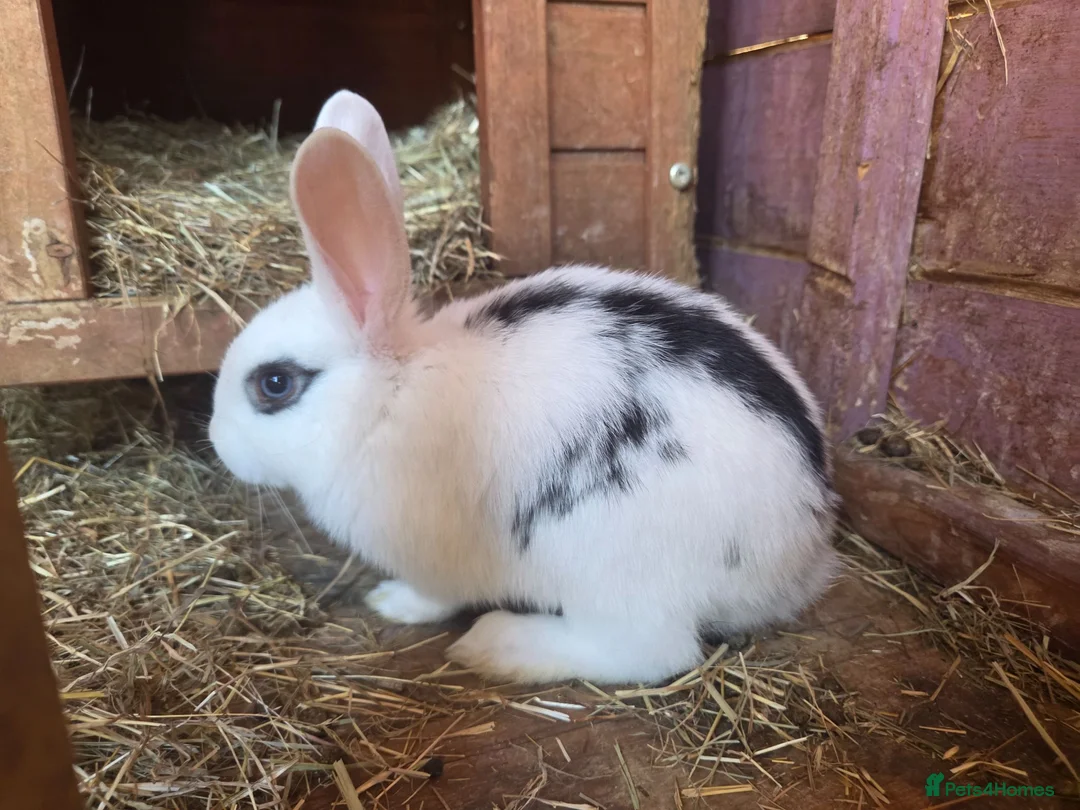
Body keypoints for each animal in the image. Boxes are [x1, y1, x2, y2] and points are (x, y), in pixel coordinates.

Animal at [209, 90, 840, 686]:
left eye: (274, 384)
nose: (216, 441)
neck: (388, 397)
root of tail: (800, 551)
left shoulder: (434, 560)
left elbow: (433, 597)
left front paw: (390, 602)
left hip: (611, 565)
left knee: (651, 652)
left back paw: (498, 644)